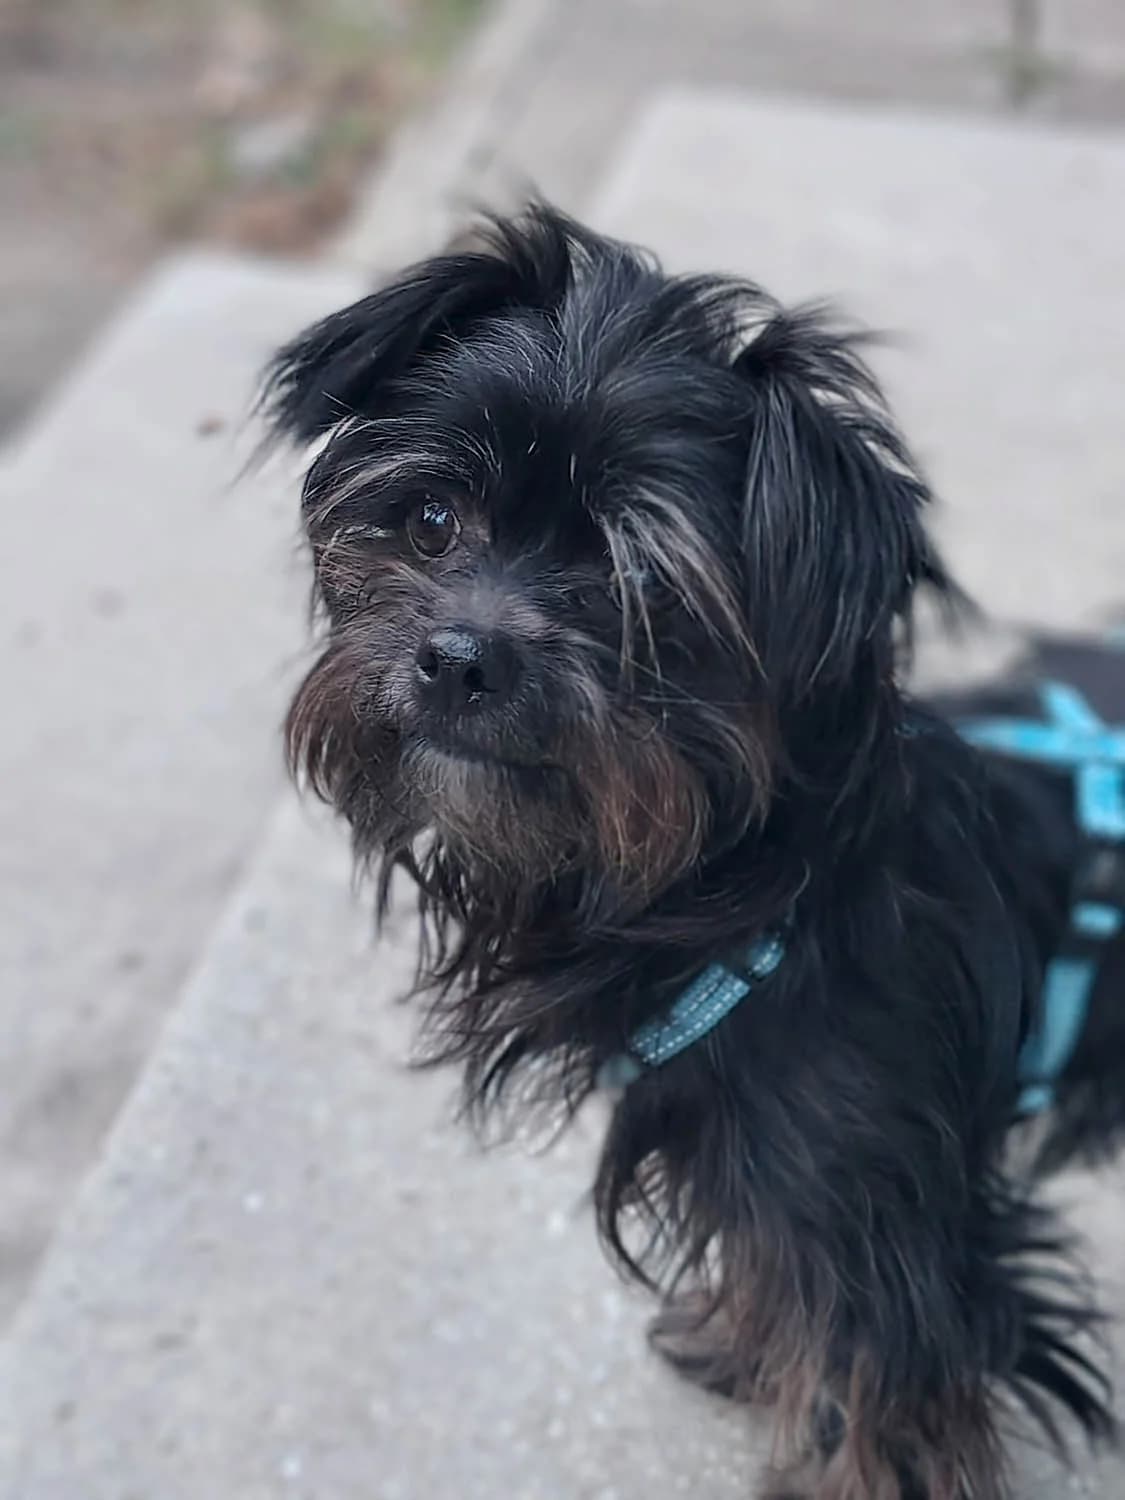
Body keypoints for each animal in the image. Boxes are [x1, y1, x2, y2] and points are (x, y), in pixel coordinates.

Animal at [261, 204, 1125, 1499]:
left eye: (644, 589)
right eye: (431, 520)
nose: (458, 657)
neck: (751, 904)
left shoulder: (891, 1244)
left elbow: (880, 1401)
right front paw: (745, 1352)